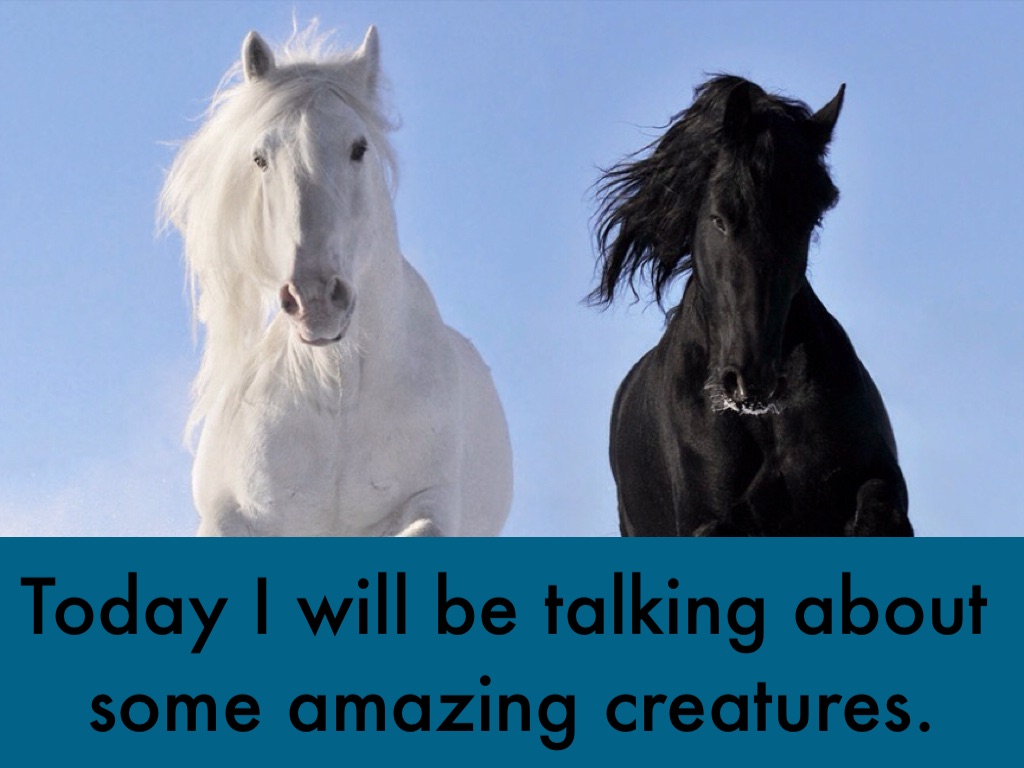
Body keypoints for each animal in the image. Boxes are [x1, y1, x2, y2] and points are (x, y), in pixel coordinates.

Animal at [160, 25, 512, 536]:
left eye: (358, 147)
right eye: (260, 158)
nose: (315, 299)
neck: (337, 394)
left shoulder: (433, 505)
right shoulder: (227, 515)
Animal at [590, 75, 912, 537]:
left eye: (808, 221)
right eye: (719, 218)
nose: (750, 381)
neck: (764, 423)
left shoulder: (875, 479)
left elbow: (878, 507)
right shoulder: (710, 520)